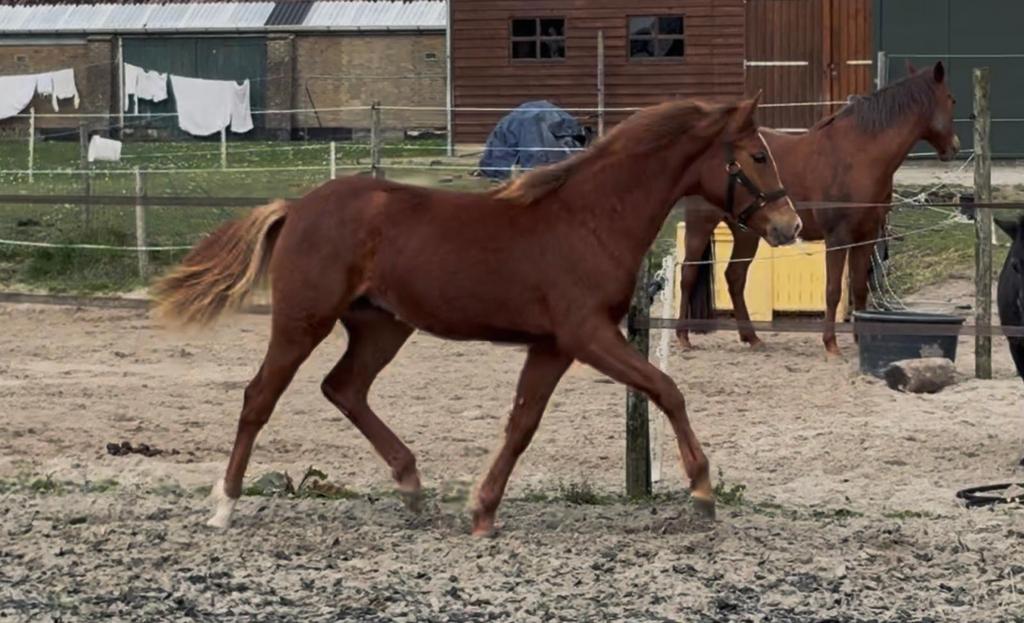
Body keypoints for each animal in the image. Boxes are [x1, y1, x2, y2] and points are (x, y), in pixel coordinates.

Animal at [152, 96, 802, 536]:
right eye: (757, 155)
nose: (789, 225)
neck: (591, 218)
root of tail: (296, 206)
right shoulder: (587, 334)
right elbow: (667, 390)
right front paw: (703, 490)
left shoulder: (552, 345)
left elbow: (521, 424)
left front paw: (483, 510)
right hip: (302, 320)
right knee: (260, 396)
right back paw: (224, 504)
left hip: (382, 326)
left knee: (344, 388)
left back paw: (412, 486)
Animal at [675, 61, 960, 355]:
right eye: (951, 99)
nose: (954, 147)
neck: (859, 155)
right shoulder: (838, 237)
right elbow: (833, 290)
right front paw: (830, 343)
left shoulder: (867, 235)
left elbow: (859, 287)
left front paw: (860, 338)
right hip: (700, 226)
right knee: (687, 274)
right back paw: (683, 337)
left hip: (747, 232)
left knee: (734, 277)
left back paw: (751, 337)